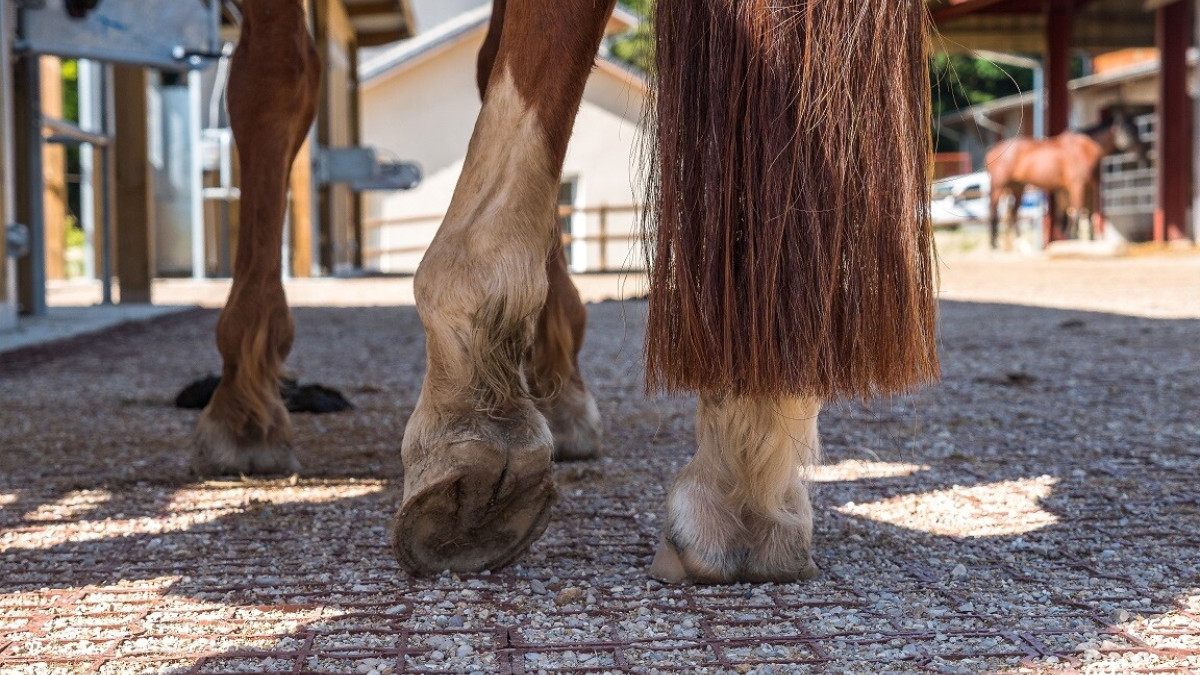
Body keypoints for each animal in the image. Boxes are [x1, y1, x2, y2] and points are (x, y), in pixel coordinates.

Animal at [988, 111, 1147, 248]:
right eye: (1128, 131)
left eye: (1136, 129)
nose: (1143, 153)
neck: (1086, 148)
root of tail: (992, 151)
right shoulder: (1077, 185)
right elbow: (1076, 211)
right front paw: (1075, 239)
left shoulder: (1090, 186)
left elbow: (1089, 214)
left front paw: (1090, 240)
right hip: (999, 186)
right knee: (994, 211)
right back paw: (994, 245)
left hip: (1017, 187)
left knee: (1013, 214)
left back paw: (1021, 244)